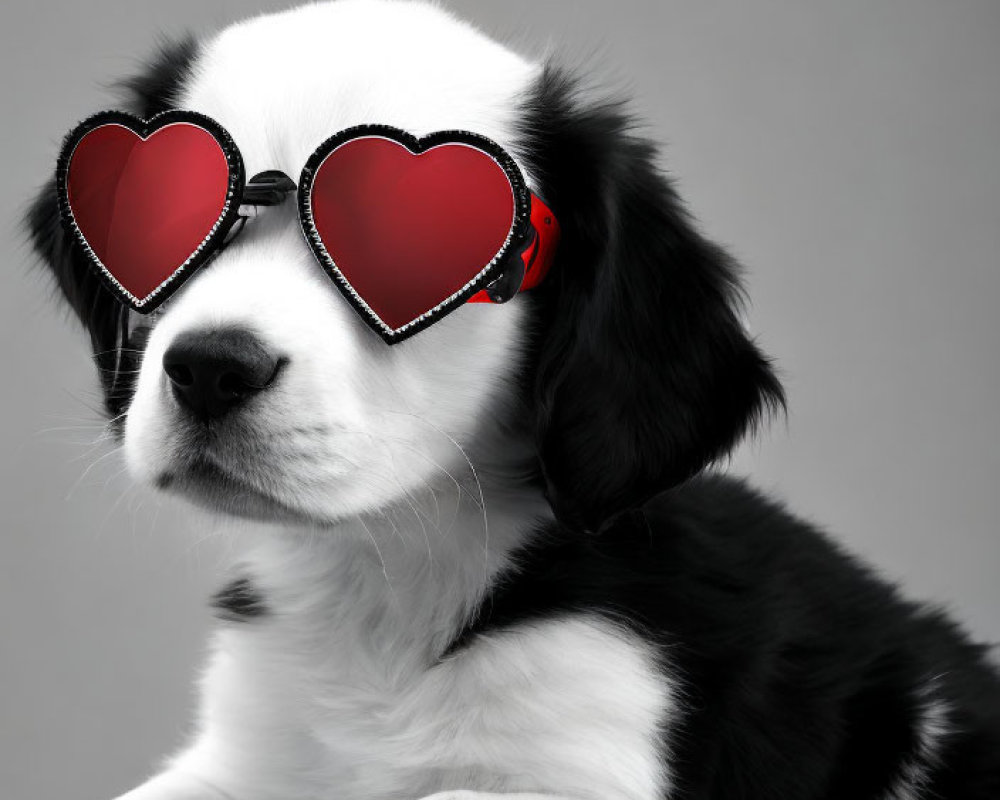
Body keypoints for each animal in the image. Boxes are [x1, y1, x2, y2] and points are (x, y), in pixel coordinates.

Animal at [27, 1, 1000, 800]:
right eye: (164, 226)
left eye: (414, 249)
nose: (210, 369)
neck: (390, 597)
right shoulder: (245, 753)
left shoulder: (583, 749)